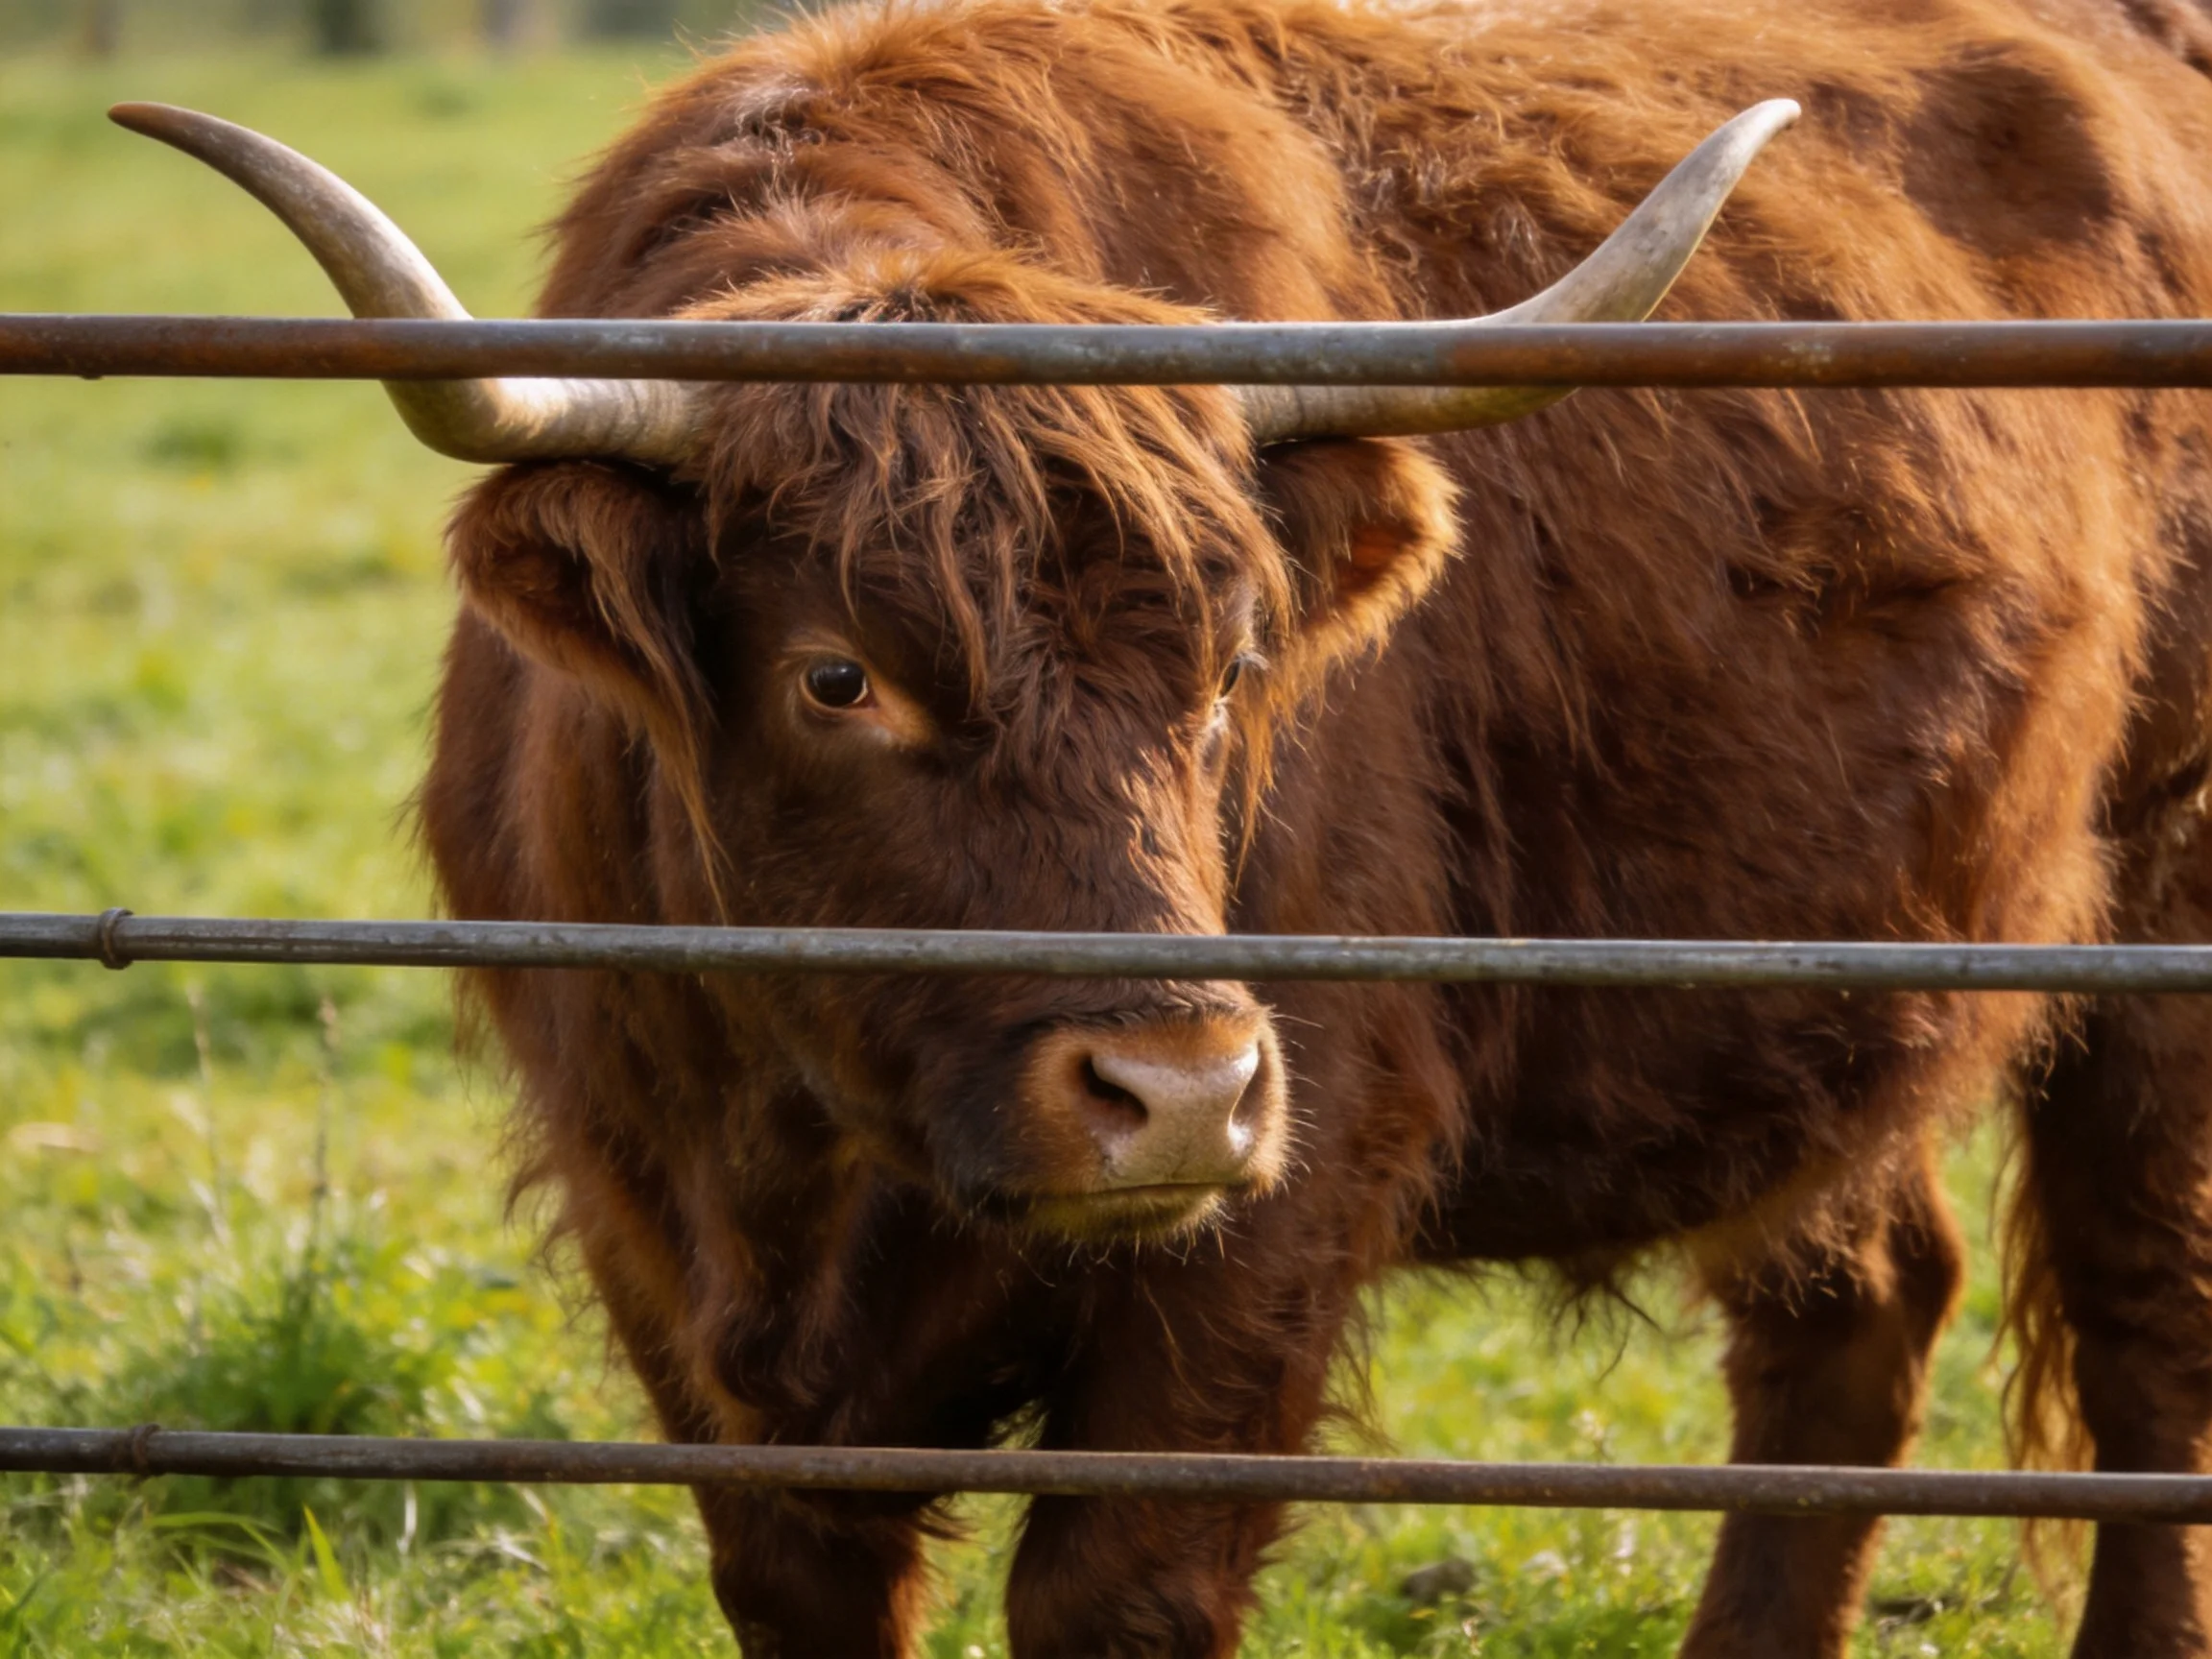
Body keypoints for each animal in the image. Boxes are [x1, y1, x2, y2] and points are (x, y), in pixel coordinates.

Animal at [117, 0, 2212, 1652]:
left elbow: (1112, 1588)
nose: (1178, 1092)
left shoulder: (1287, 1186)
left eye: (1235, 668)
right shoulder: (658, 1234)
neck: (811, 1159)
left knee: (2142, 1318)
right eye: (834, 676)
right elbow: (801, 1578)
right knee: (1854, 1311)